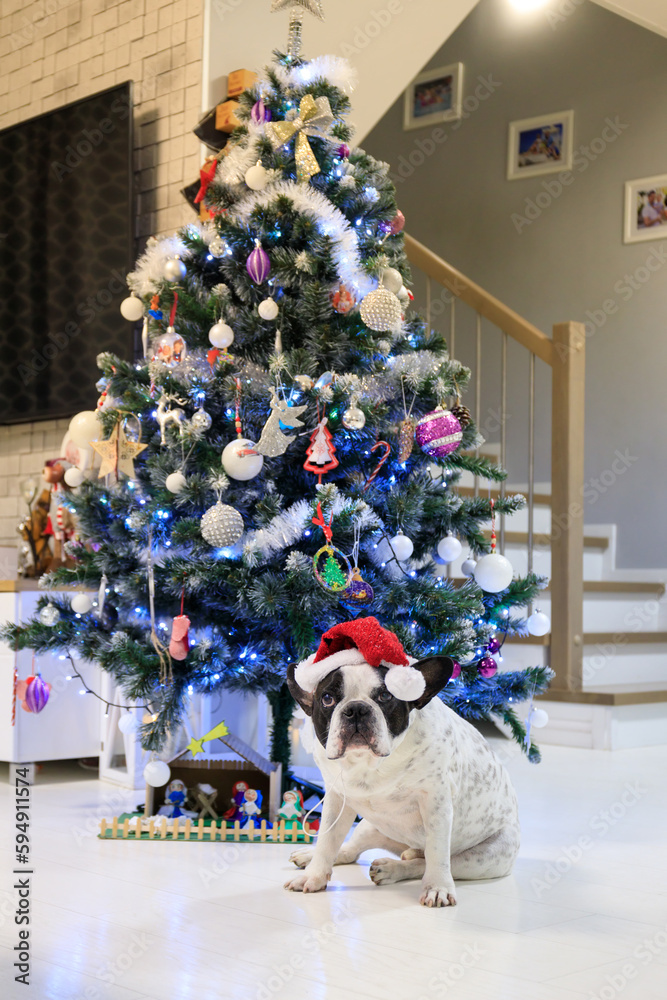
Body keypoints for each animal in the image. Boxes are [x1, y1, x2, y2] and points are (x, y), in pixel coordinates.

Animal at [284, 616, 520, 908]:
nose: (356, 709)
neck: (368, 764)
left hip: (483, 857)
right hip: (369, 825)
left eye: (385, 697)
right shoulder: (338, 798)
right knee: (350, 849)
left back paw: (393, 868)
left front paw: (437, 888)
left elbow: (437, 853)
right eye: (327, 699)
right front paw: (314, 875)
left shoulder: (436, 803)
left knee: (429, 861)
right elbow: (329, 839)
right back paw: (310, 855)